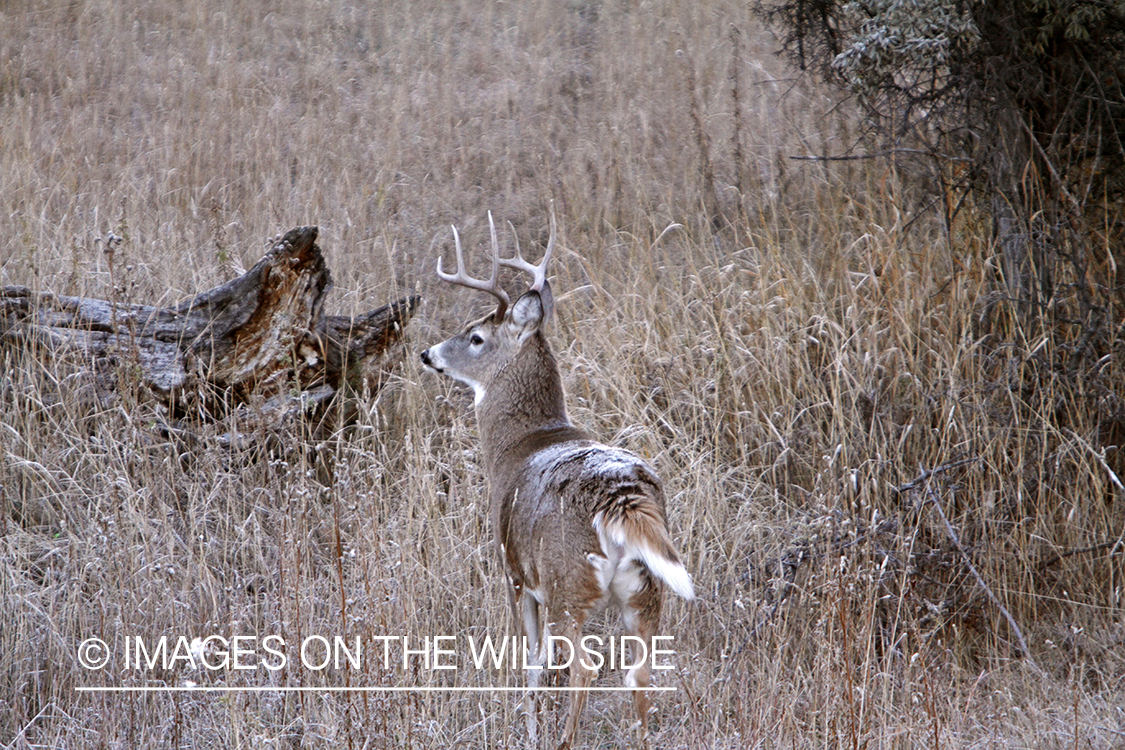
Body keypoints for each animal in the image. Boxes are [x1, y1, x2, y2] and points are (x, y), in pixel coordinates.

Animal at [418, 211, 688, 750]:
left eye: (475, 336)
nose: (428, 353)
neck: (522, 444)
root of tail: (623, 496)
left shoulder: (514, 572)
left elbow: (532, 664)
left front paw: (528, 727)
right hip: (647, 589)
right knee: (641, 672)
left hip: (569, 581)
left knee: (584, 667)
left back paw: (563, 740)